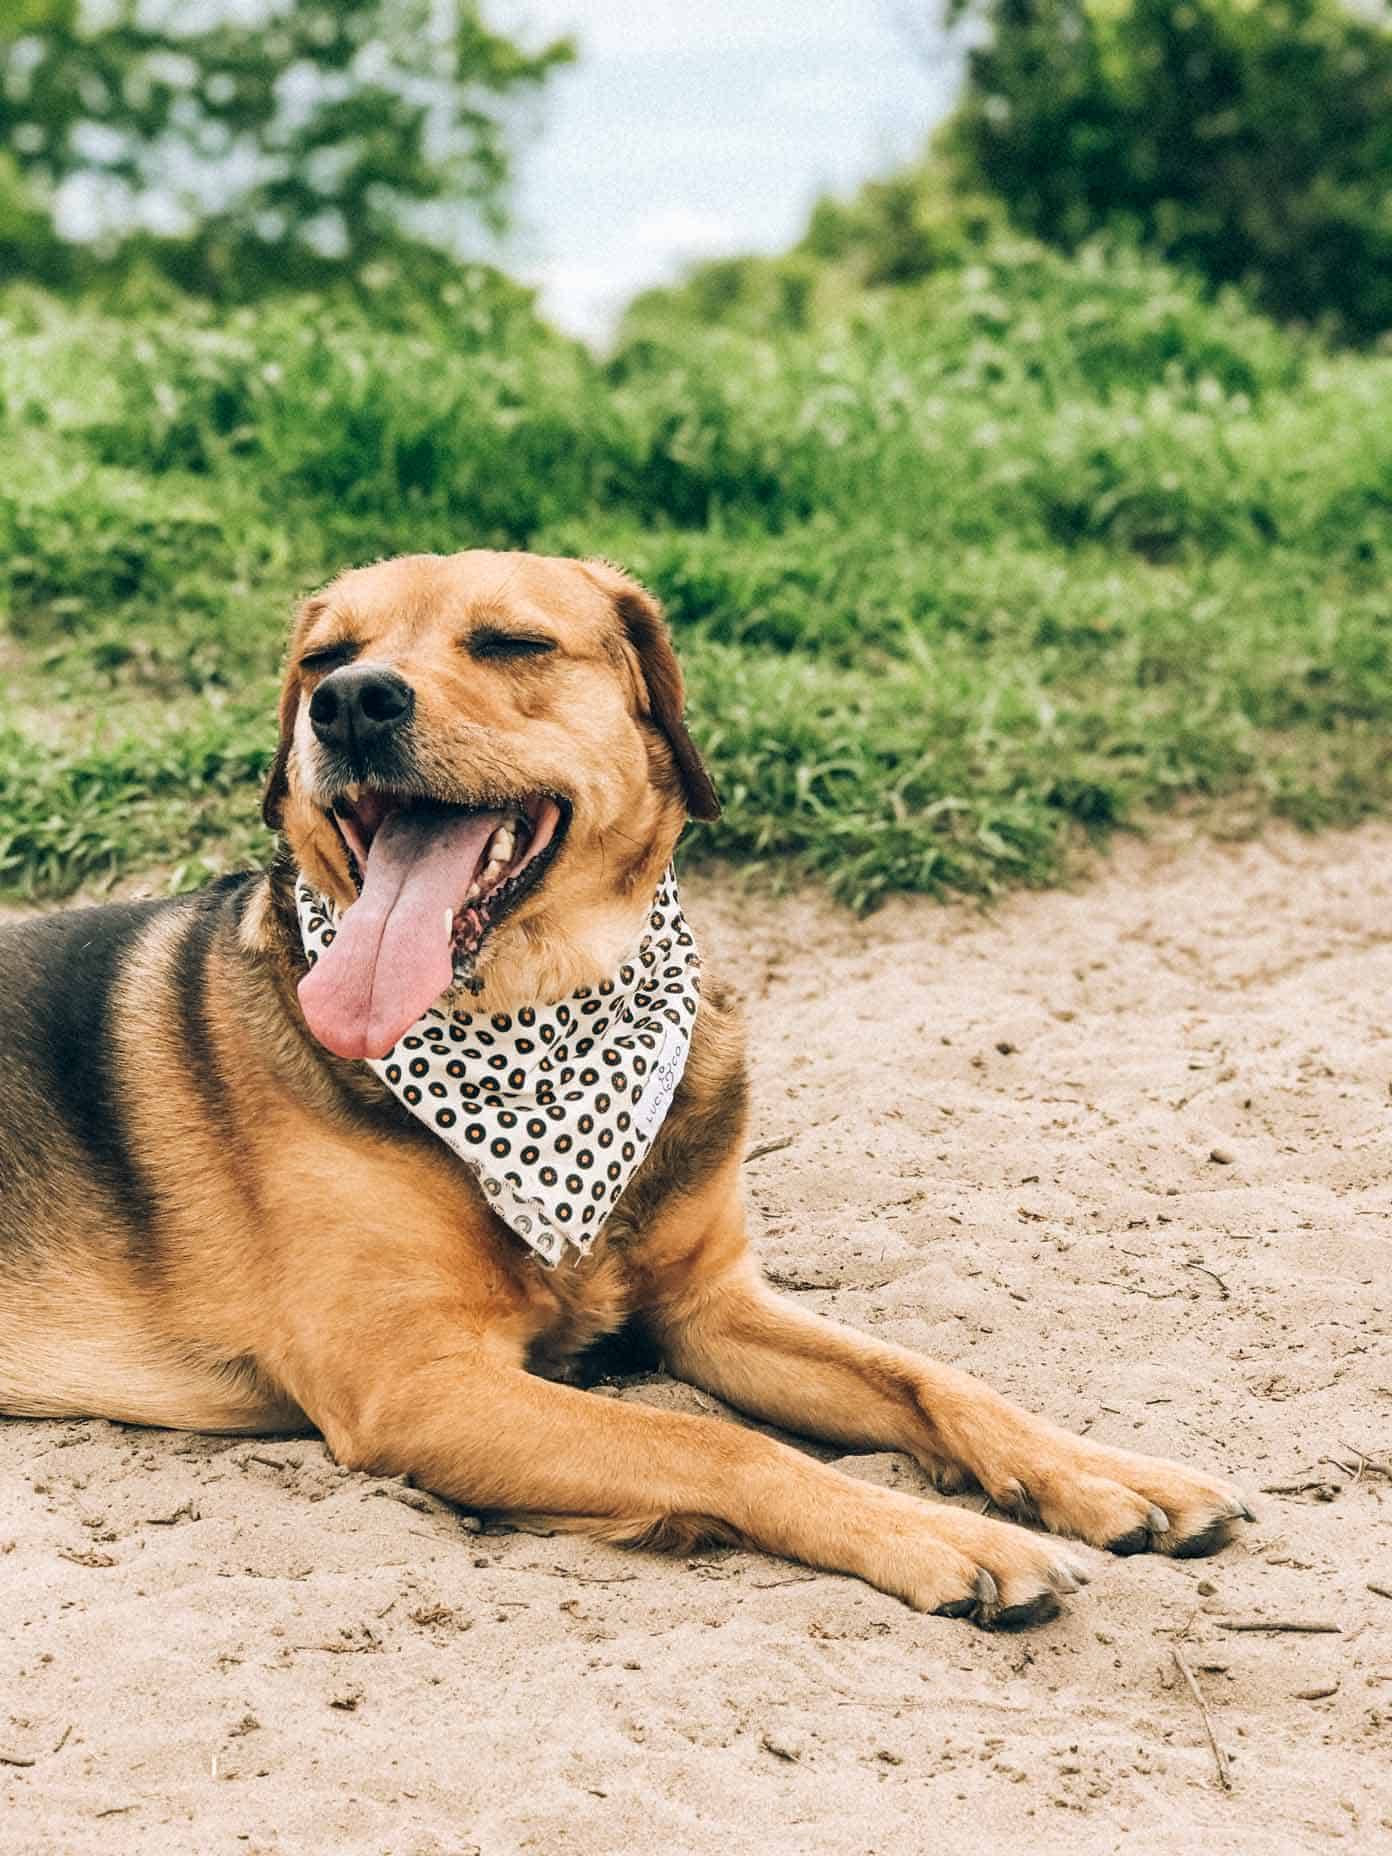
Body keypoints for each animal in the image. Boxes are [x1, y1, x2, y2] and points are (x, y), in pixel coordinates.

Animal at [0, 549, 1262, 1625]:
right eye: (323, 657)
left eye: (510, 641)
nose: (349, 703)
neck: (534, 1018)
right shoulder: (413, 1384)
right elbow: (720, 1446)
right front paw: (953, 1534)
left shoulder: (709, 1307)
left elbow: (933, 1376)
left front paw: (1100, 1472)